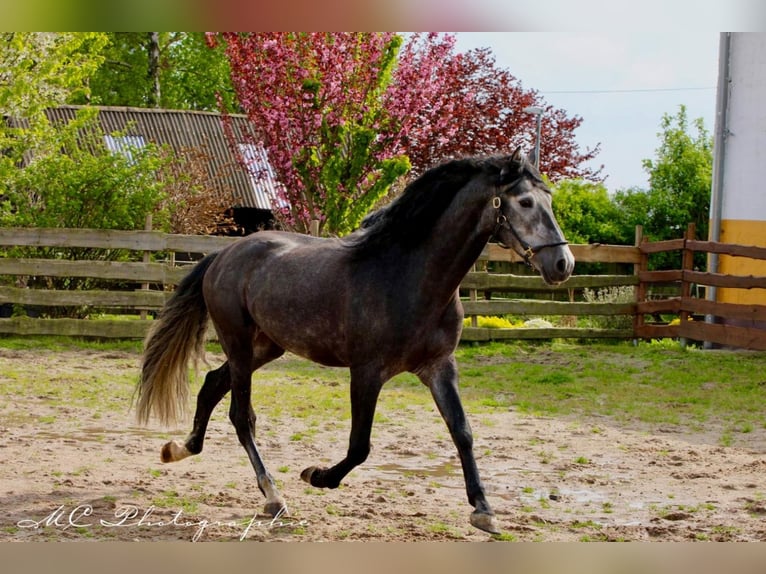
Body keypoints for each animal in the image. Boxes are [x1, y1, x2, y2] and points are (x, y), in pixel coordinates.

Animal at [135, 148, 574, 535]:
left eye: (549, 200)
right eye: (524, 202)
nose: (563, 264)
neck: (410, 278)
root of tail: (223, 255)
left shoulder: (439, 366)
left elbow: (462, 431)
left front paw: (484, 511)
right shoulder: (367, 372)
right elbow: (360, 445)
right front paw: (317, 475)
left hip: (267, 346)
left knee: (211, 384)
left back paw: (177, 450)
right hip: (240, 345)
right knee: (242, 416)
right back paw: (273, 496)